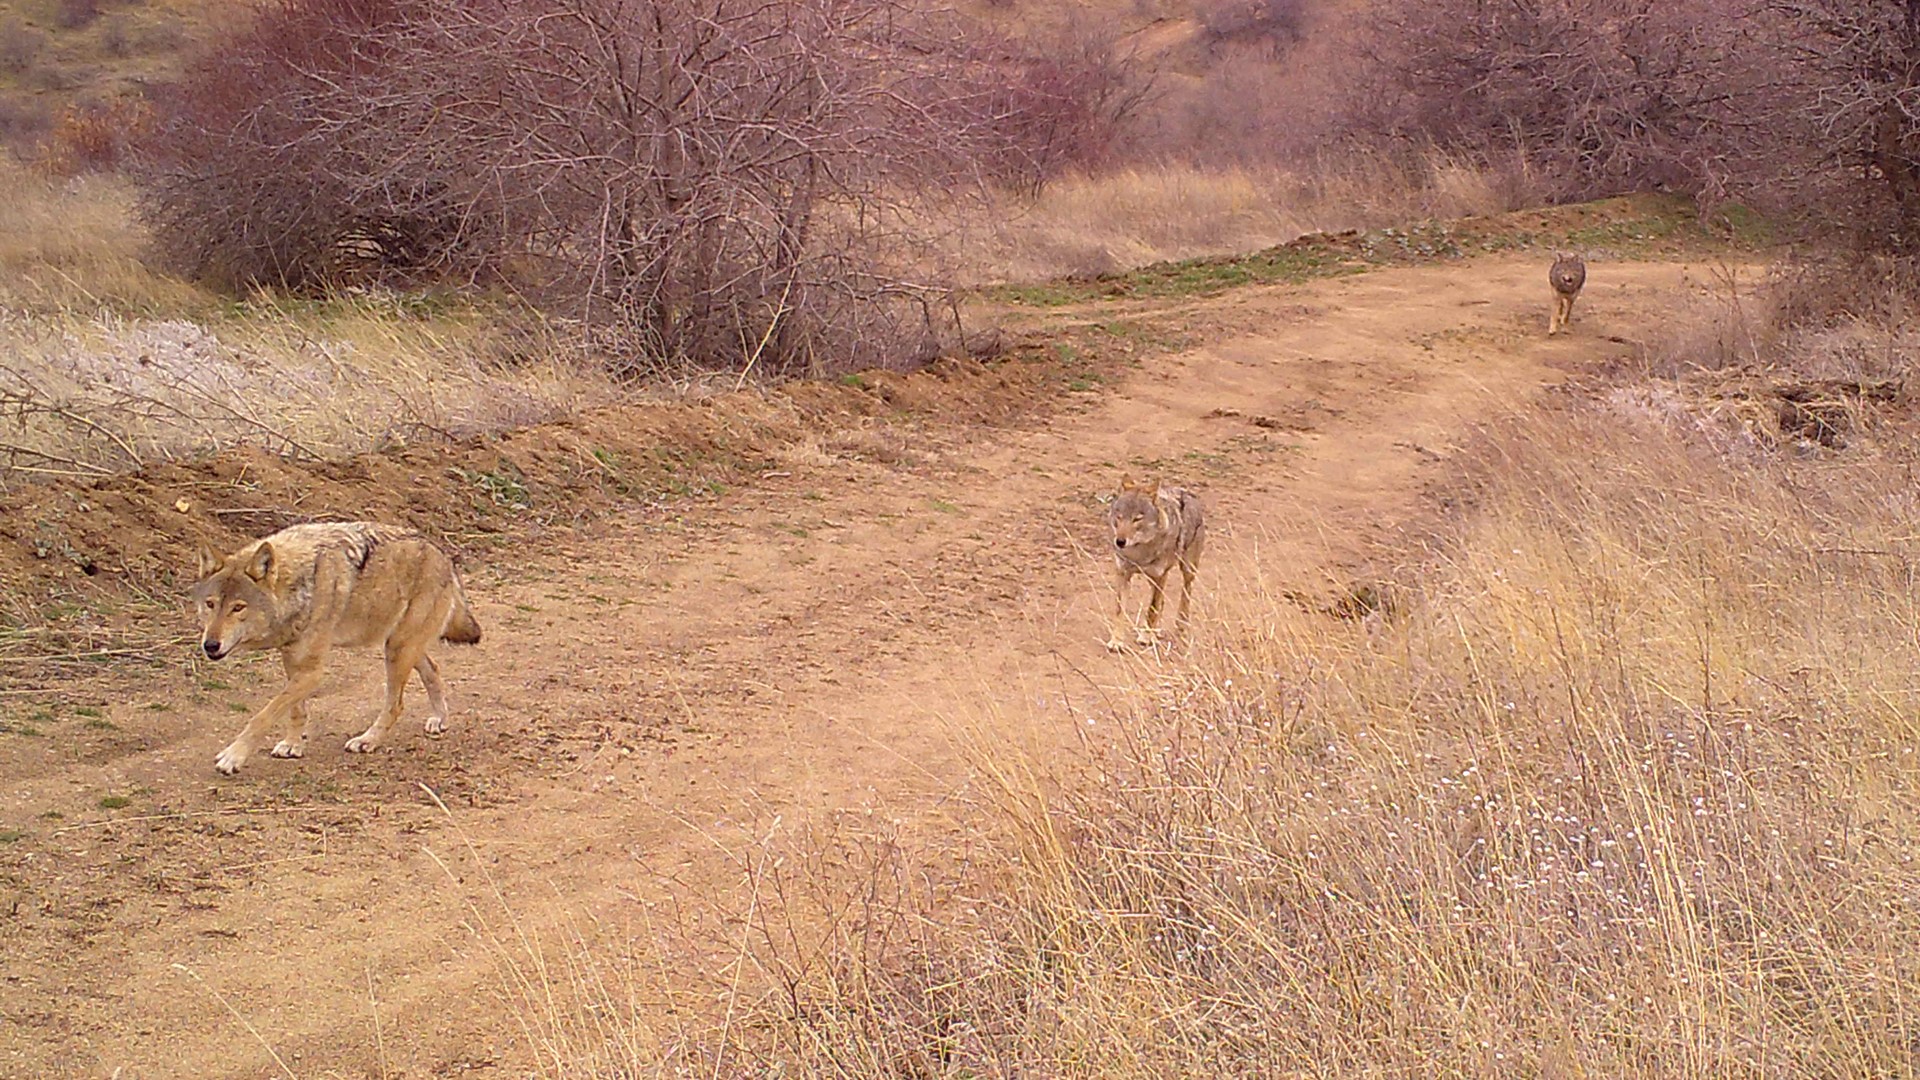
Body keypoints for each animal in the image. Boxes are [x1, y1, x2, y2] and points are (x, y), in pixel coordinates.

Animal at [191, 522, 483, 772]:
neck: (300, 585)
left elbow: (264, 715)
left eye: (238, 607)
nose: (210, 645)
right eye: (210, 604)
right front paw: (292, 744)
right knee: (433, 669)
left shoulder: (313, 671)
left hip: (398, 650)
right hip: (399, 645)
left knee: (396, 704)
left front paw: (233, 756)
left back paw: (368, 740)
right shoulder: (292, 660)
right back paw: (439, 719)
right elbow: (295, 710)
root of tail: (444, 555)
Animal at [1105, 476, 1205, 645]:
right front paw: (1116, 641)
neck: (1138, 553)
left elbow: (1152, 609)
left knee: (1185, 595)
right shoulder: (1124, 574)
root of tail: (1188, 493)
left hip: (1187, 570)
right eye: (1119, 516)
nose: (1120, 541)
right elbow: (1120, 610)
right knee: (1162, 602)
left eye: (1137, 519)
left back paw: (1179, 626)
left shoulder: (1160, 576)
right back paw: (1155, 632)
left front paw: (1146, 637)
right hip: (1152, 580)